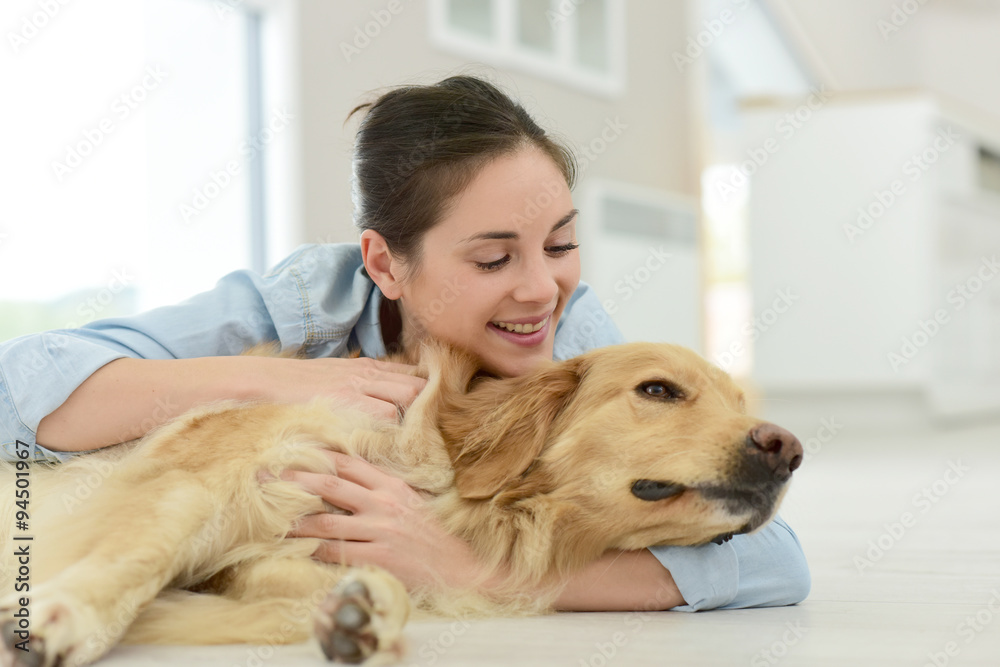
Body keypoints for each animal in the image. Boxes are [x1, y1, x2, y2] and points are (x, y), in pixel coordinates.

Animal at [0, 344, 796, 667]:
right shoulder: (192, 483)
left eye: (738, 403)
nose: (787, 447)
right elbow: (137, 556)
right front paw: (58, 620)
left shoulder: (268, 551)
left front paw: (356, 613)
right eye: (659, 390)